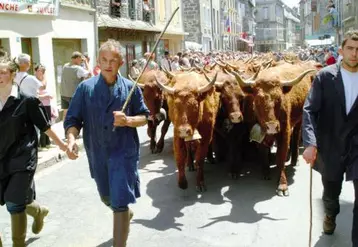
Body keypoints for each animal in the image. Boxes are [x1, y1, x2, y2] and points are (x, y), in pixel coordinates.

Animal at [229, 65, 316, 197]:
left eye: (279, 99)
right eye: (258, 100)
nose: (272, 126)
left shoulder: (285, 133)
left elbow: (280, 158)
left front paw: (282, 185)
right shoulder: (259, 134)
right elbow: (263, 152)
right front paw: (265, 172)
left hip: (300, 120)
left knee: (296, 136)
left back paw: (294, 160)